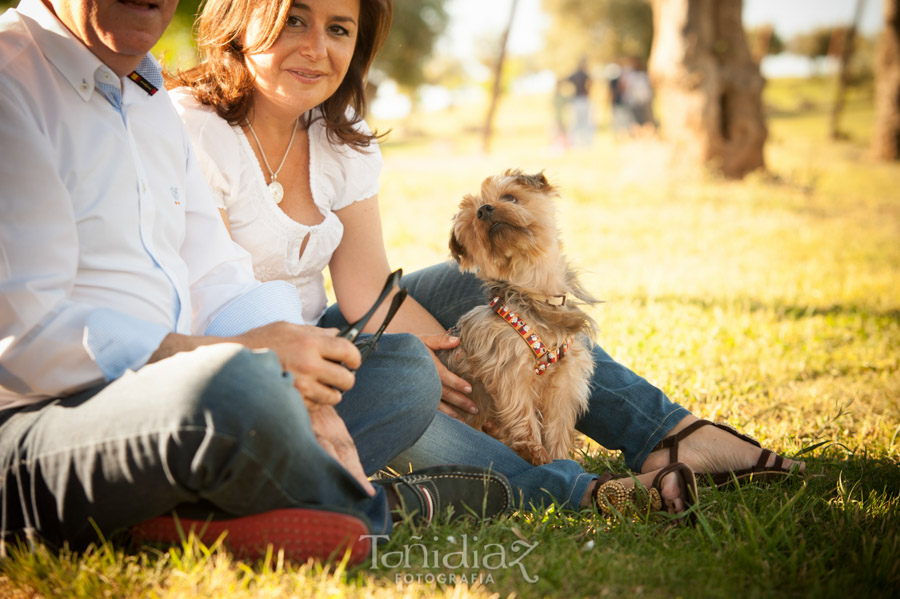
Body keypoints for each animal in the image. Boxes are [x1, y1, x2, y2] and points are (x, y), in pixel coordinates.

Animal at [442, 171, 600, 466]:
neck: (535, 293)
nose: (484, 210)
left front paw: (559, 458)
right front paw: (533, 451)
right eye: (473, 220)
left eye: (510, 197)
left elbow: (558, 425)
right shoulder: (509, 369)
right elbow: (520, 410)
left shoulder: (565, 378)